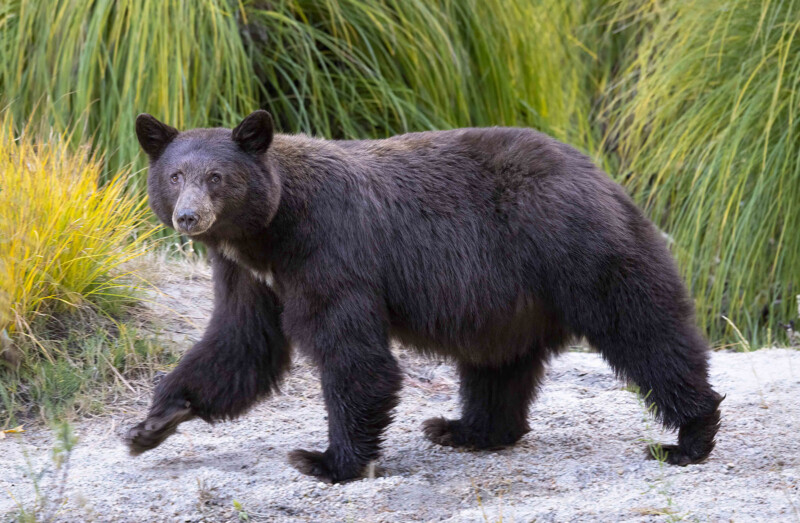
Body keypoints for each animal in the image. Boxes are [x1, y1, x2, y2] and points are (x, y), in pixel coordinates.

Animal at [125, 110, 723, 483]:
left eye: (217, 177)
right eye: (175, 175)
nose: (188, 217)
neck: (269, 232)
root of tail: (604, 176)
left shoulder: (328, 253)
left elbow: (353, 357)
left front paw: (327, 461)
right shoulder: (250, 276)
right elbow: (240, 344)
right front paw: (152, 422)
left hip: (576, 249)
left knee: (643, 328)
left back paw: (688, 436)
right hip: (507, 295)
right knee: (498, 364)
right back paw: (468, 429)